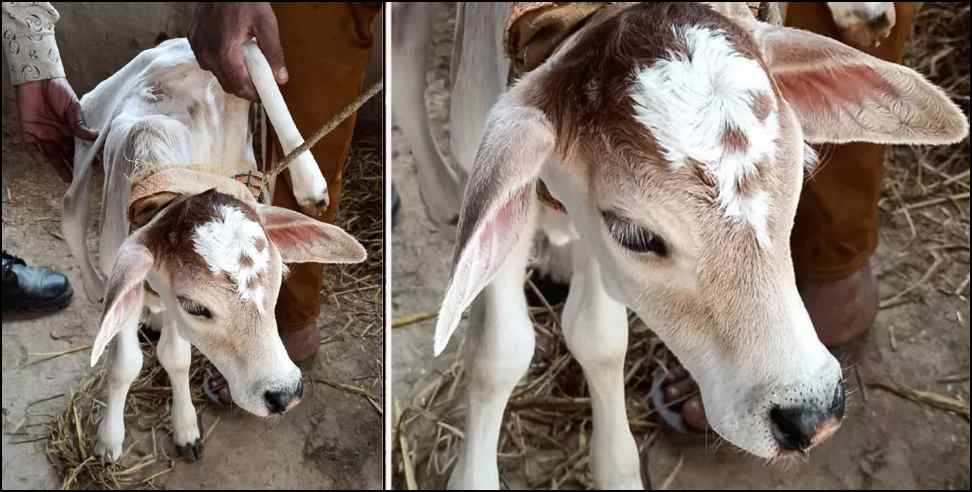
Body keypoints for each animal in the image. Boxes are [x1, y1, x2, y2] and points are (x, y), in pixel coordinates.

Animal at [63, 37, 368, 462]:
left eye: (279, 279)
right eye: (196, 307)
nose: (285, 394)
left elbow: (175, 357)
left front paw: (185, 429)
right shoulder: (130, 270)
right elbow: (125, 362)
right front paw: (109, 440)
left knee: (255, 52)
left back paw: (310, 181)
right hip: (90, 114)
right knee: (71, 214)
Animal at [392, 2, 964, 488]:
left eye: (803, 171)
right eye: (636, 235)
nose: (812, 414)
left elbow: (599, 338)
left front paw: (617, 470)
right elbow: (500, 352)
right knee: (403, 56)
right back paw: (440, 193)